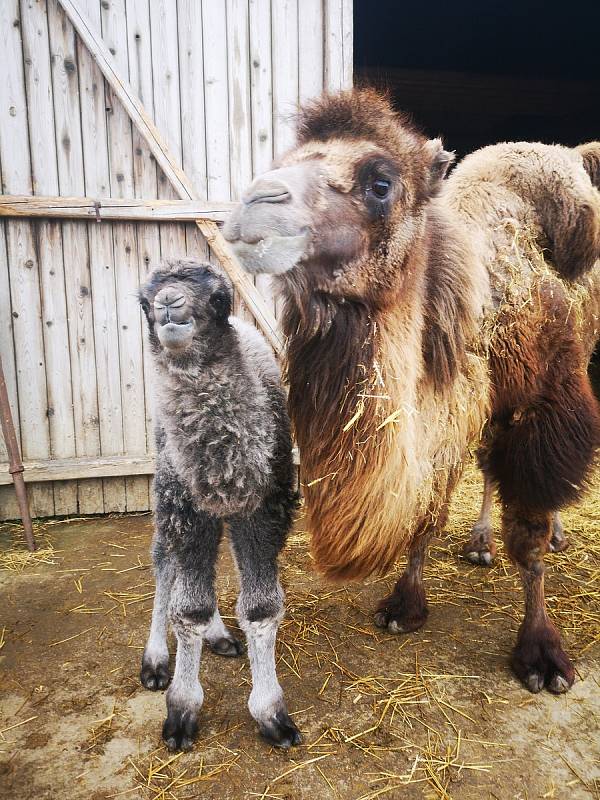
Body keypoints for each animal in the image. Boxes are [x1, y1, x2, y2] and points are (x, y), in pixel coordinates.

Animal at [139, 260, 302, 752]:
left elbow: (261, 607)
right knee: (165, 564)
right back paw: (155, 660)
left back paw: (220, 636)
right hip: (166, 487)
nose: (168, 304)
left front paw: (272, 714)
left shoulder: (263, 510)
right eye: (143, 302)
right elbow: (187, 608)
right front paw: (181, 710)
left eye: (218, 297)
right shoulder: (186, 509)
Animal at [223, 90, 596, 692]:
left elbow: (529, 534)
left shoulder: (542, 401)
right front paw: (405, 603)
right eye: (287, 158)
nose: (255, 204)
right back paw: (479, 541)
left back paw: (553, 535)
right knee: (488, 464)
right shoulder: (452, 408)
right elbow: (426, 511)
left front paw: (541, 651)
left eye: (381, 182)